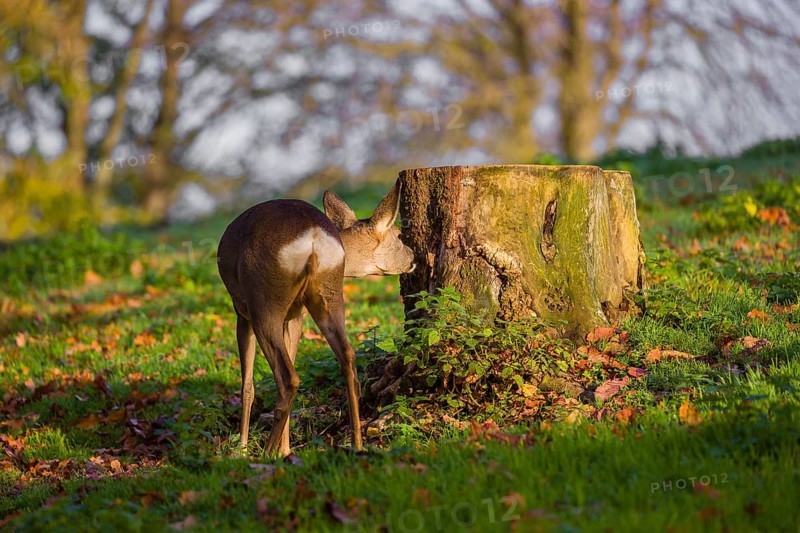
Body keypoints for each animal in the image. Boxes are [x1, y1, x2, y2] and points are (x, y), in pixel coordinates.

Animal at [217, 180, 415, 457]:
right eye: (399, 236)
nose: (414, 256)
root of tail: (313, 238)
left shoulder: (241, 310)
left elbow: (247, 385)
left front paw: (244, 450)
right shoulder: (295, 315)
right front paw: (285, 450)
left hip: (263, 301)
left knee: (287, 379)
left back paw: (265, 455)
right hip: (329, 293)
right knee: (348, 359)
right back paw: (355, 444)